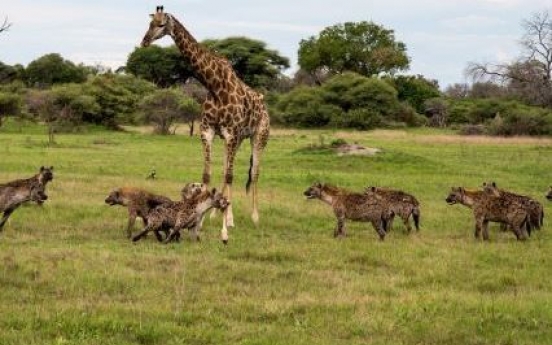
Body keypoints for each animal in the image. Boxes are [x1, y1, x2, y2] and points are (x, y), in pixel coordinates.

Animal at [140, 5, 270, 242]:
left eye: (161, 24)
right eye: (150, 23)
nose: (144, 41)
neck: (214, 86)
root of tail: (264, 105)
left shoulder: (230, 133)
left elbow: (230, 175)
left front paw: (226, 224)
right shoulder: (208, 131)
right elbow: (207, 174)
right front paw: (204, 215)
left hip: (259, 136)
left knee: (253, 173)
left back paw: (253, 217)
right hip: (237, 140)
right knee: (229, 170)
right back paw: (220, 213)